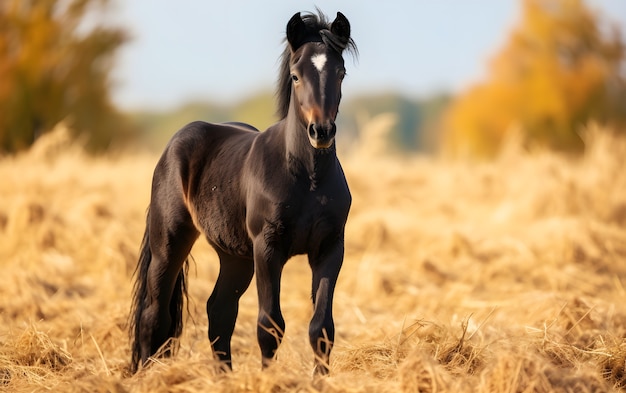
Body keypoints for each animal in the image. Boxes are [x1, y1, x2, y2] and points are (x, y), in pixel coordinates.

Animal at [128, 10, 356, 376]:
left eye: (340, 72)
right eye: (295, 76)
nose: (321, 132)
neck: (308, 179)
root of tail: (173, 145)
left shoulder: (330, 248)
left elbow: (322, 328)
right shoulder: (268, 247)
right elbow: (270, 325)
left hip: (235, 257)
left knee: (219, 311)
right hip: (170, 244)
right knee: (154, 313)